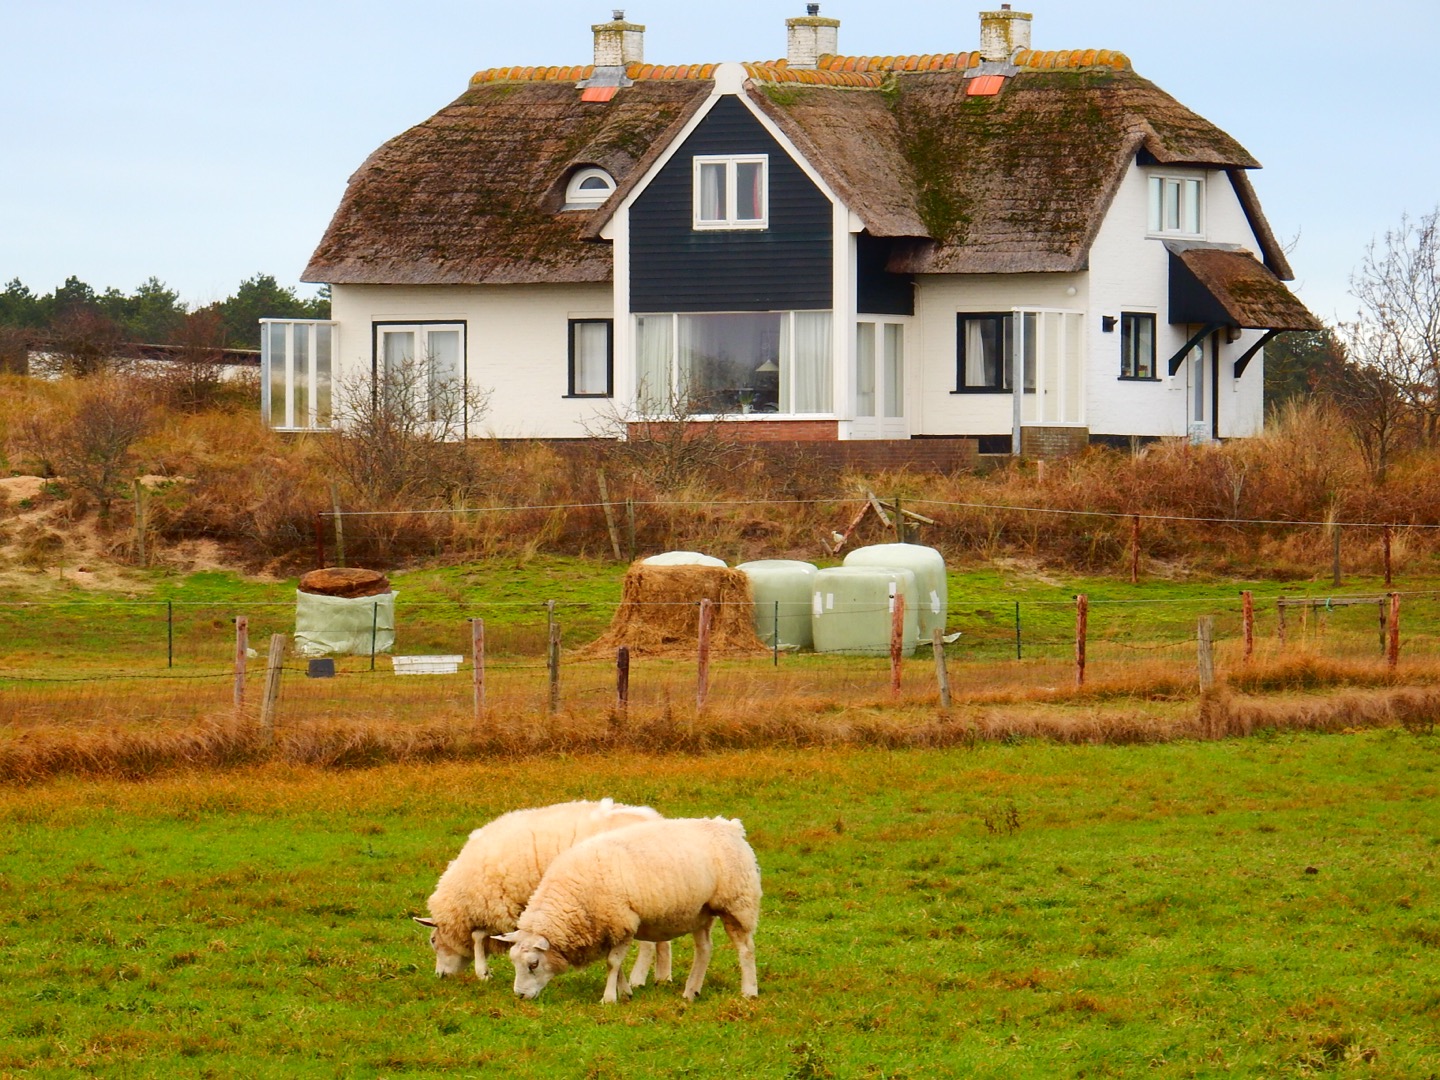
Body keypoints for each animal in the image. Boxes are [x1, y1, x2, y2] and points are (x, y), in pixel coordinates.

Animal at [411, 800, 668, 984]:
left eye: (433, 940)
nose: (440, 976)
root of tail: (654, 819)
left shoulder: (499, 905)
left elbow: (477, 936)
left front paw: (482, 972)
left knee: (648, 944)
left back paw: (638, 979)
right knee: (662, 940)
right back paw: (663, 977)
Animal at [495, 817, 760, 1008]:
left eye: (533, 964)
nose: (520, 996)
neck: (572, 895)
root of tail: (731, 827)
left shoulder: (621, 921)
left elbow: (612, 963)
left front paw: (609, 998)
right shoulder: (608, 928)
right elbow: (616, 964)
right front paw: (624, 993)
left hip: (737, 903)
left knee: (745, 949)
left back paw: (749, 991)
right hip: (701, 912)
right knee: (704, 950)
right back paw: (691, 992)